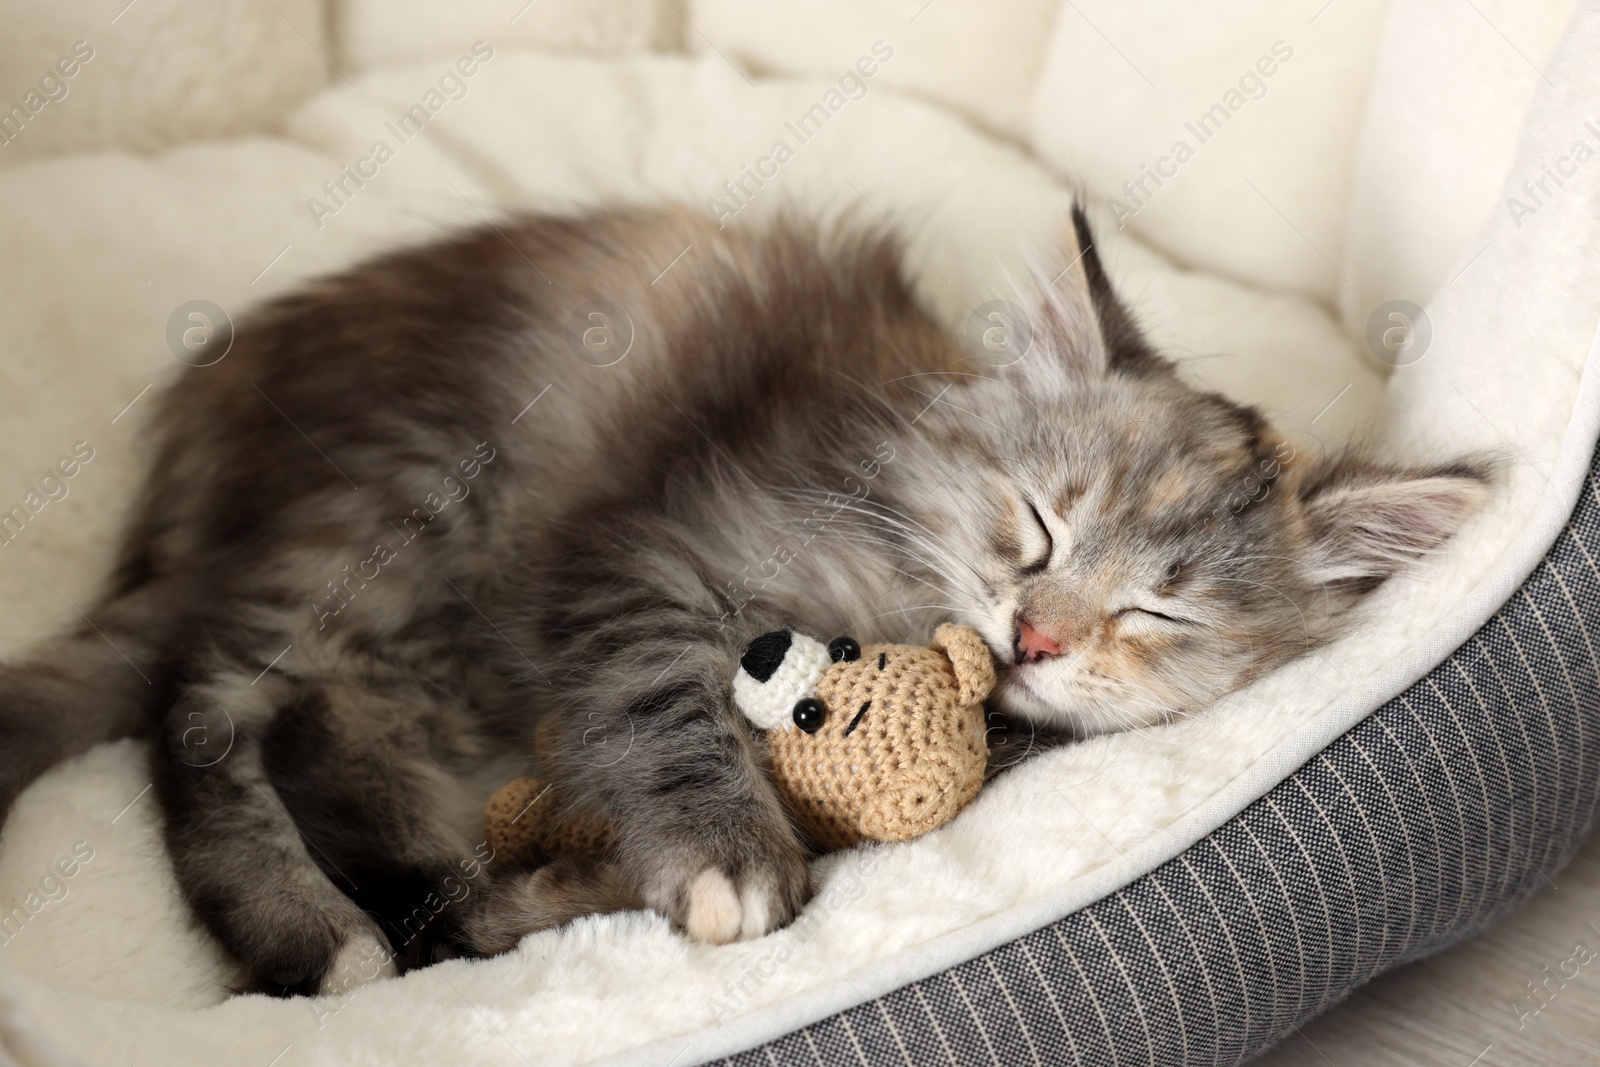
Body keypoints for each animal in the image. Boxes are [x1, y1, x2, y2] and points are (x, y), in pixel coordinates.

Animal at [0, 204, 1478, 998]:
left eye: (1160, 618)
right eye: (1042, 520)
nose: (1036, 633)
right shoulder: (644, 556)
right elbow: (667, 707)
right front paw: (723, 849)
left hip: (417, 637)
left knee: (330, 747)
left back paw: (487, 895)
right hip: (399, 510)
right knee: (199, 711)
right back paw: (317, 933)